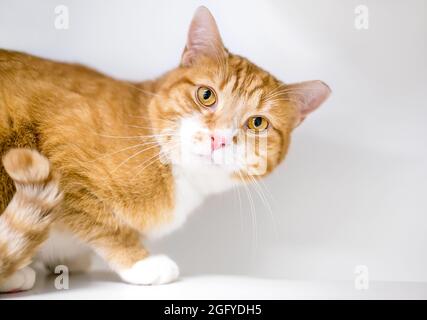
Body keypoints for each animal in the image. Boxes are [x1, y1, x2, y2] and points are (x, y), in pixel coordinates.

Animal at [0, 6, 332, 292]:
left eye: (258, 123)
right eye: (206, 95)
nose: (219, 138)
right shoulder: (64, 164)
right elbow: (105, 224)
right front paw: (140, 262)